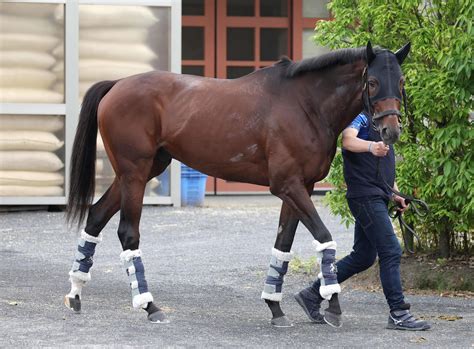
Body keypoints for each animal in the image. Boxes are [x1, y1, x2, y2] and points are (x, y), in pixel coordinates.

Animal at [64, 41, 412, 326]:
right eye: (372, 82)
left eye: (402, 81)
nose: (391, 131)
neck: (304, 104)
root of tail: (117, 85)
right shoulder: (288, 185)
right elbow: (325, 239)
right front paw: (334, 306)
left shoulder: (300, 187)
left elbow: (283, 245)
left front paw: (275, 308)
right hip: (134, 173)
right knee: (127, 232)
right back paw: (149, 306)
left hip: (139, 172)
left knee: (95, 216)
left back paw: (76, 293)